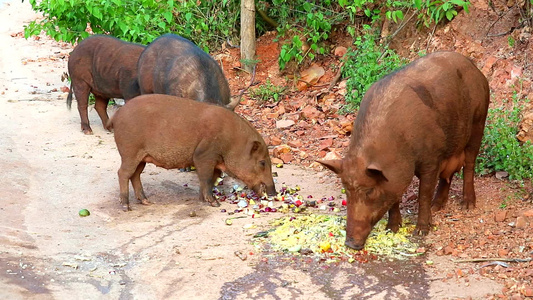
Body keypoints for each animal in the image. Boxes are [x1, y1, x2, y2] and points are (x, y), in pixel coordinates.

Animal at [108, 94, 274, 211]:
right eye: (262, 162)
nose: (273, 192)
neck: (232, 143)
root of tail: (115, 116)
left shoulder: (214, 161)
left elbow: (212, 178)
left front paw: (202, 199)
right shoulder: (204, 155)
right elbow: (206, 178)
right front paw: (215, 204)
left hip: (142, 157)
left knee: (135, 175)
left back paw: (146, 202)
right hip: (129, 152)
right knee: (122, 173)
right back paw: (126, 207)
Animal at [318, 52, 488, 251]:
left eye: (369, 191)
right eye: (346, 190)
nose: (351, 244)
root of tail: (474, 67)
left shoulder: (431, 158)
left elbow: (423, 194)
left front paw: (421, 231)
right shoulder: (394, 177)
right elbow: (394, 198)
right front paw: (392, 229)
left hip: (479, 121)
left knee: (469, 164)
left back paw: (467, 205)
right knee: (447, 176)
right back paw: (437, 206)